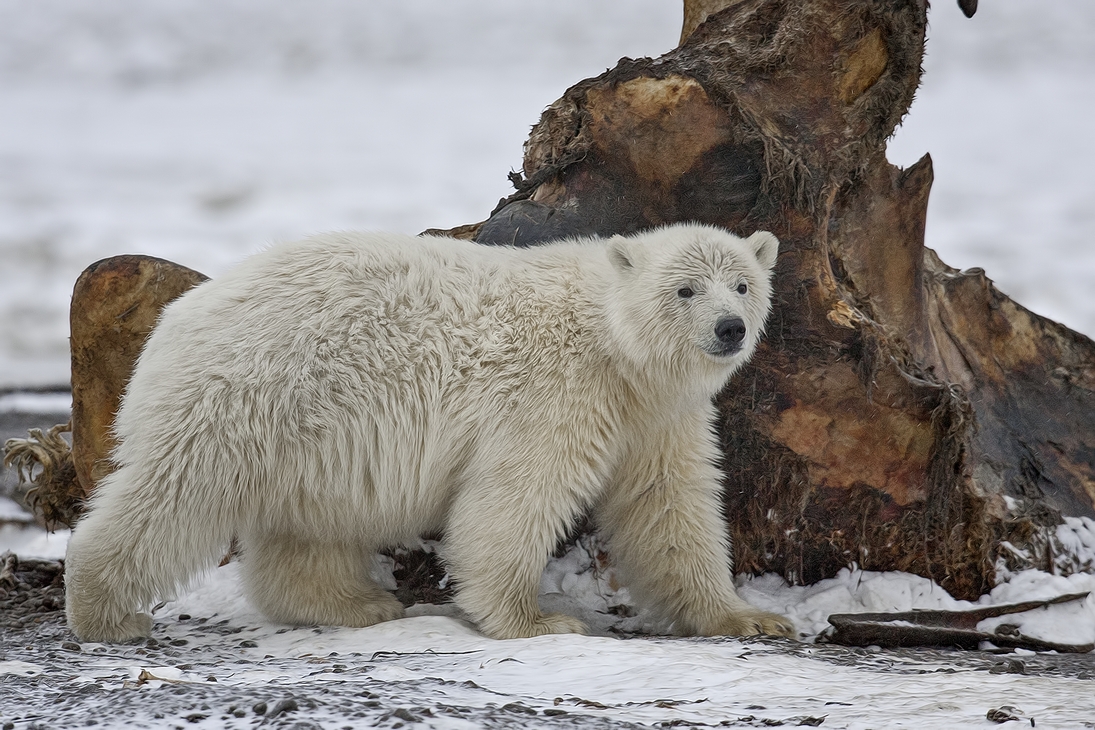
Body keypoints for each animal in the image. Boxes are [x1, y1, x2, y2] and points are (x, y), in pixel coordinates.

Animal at [64, 223, 792, 639]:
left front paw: (750, 618)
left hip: (309, 431)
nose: (729, 329)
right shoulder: (557, 394)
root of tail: (177, 316)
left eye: (741, 283)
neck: (613, 345)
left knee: (306, 529)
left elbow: (667, 507)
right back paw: (107, 614)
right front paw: (536, 620)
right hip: (244, 398)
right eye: (685, 290)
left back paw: (356, 604)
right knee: (174, 496)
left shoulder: (656, 414)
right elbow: (512, 499)